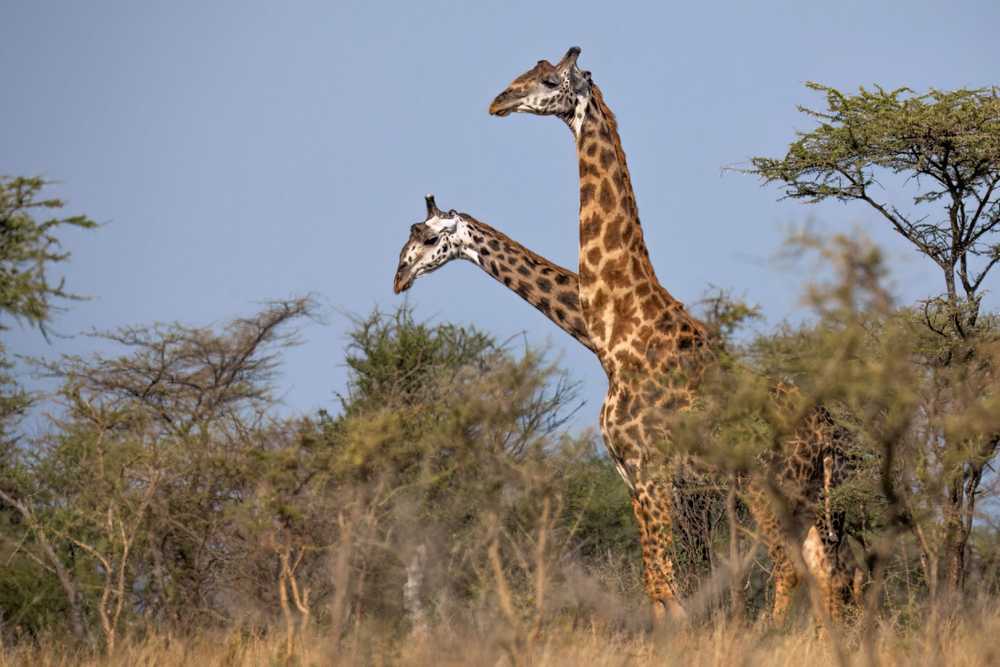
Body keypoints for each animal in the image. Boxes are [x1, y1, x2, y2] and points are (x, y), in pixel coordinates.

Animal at [487, 47, 856, 627]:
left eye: (548, 81)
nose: (498, 101)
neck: (622, 334)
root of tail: (825, 429)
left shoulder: (650, 472)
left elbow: (663, 583)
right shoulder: (636, 476)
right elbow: (662, 582)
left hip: (768, 488)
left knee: (790, 568)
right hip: (806, 496)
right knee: (824, 569)